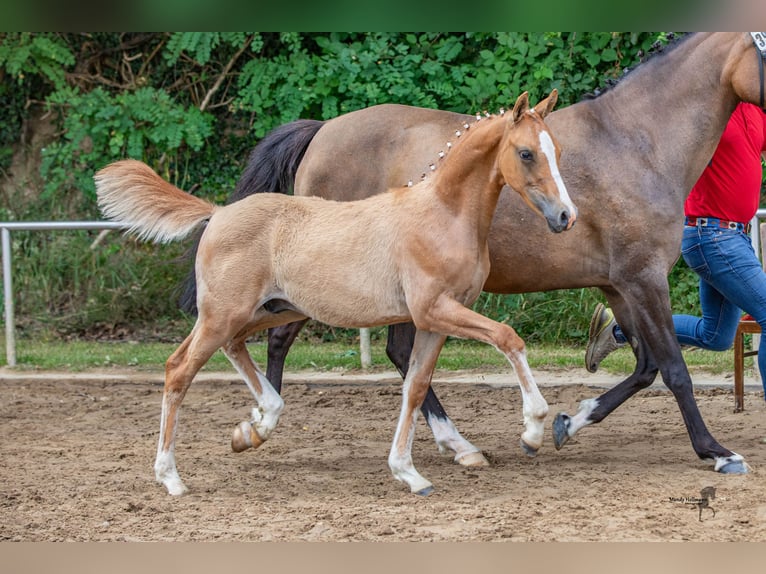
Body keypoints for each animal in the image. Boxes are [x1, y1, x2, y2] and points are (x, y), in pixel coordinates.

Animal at [96, 89, 576, 496]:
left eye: (557, 151)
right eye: (526, 153)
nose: (565, 216)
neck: (442, 214)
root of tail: (217, 213)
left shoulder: (435, 320)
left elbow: (416, 386)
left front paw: (409, 472)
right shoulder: (434, 309)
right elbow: (508, 338)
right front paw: (532, 430)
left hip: (272, 310)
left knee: (235, 346)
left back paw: (257, 422)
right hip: (221, 314)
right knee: (179, 369)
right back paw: (171, 477)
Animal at [184, 33, 760, 480]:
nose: (564, 217)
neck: (636, 143)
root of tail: (320, 131)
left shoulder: (618, 285)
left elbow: (645, 366)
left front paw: (565, 424)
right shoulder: (644, 280)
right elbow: (674, 369)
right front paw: (716, 452)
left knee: (395, 355)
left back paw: (453, 445)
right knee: (286, 340)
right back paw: (264, 425)